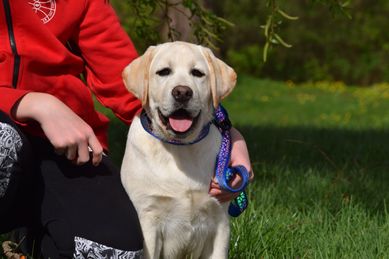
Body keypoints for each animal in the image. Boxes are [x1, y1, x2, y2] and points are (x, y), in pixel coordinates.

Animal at [121, 41, 236, 258]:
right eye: (164, 72)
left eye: (197, 73)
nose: (182, 92)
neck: (181, 149)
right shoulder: (148, 219)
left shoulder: (219, 220)